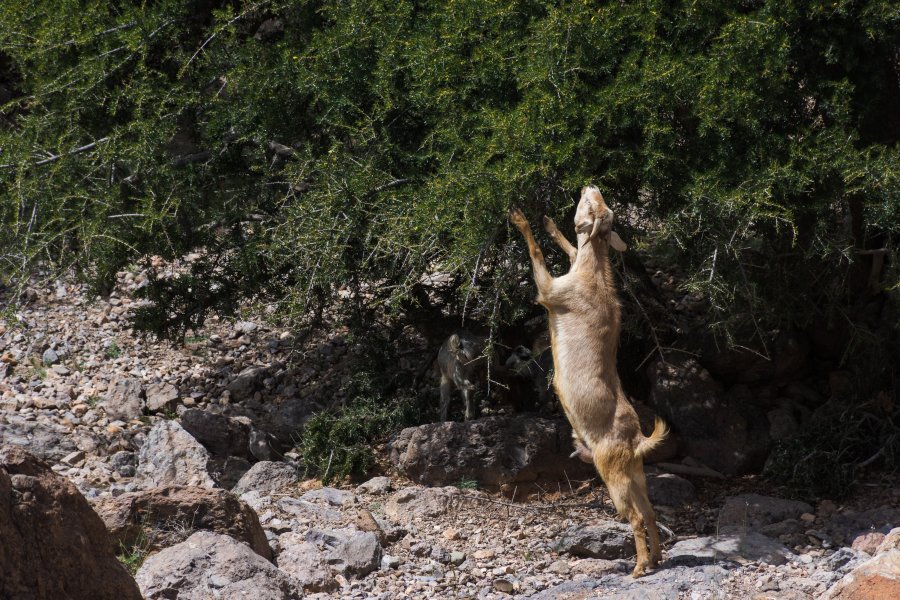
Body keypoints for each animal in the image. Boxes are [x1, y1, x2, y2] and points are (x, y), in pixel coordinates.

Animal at [506, 186, 668, 576]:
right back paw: (656, 558)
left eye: (594, 206)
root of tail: (636, 441)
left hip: (613, 476)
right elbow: (569, 247)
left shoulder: (551, 292)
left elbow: (536, 255)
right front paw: (549, 223)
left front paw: (520, 217)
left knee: (635, 517)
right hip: (634, 475)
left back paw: (639, 566)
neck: (591, 274)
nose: (589, 187)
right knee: (650, 512)